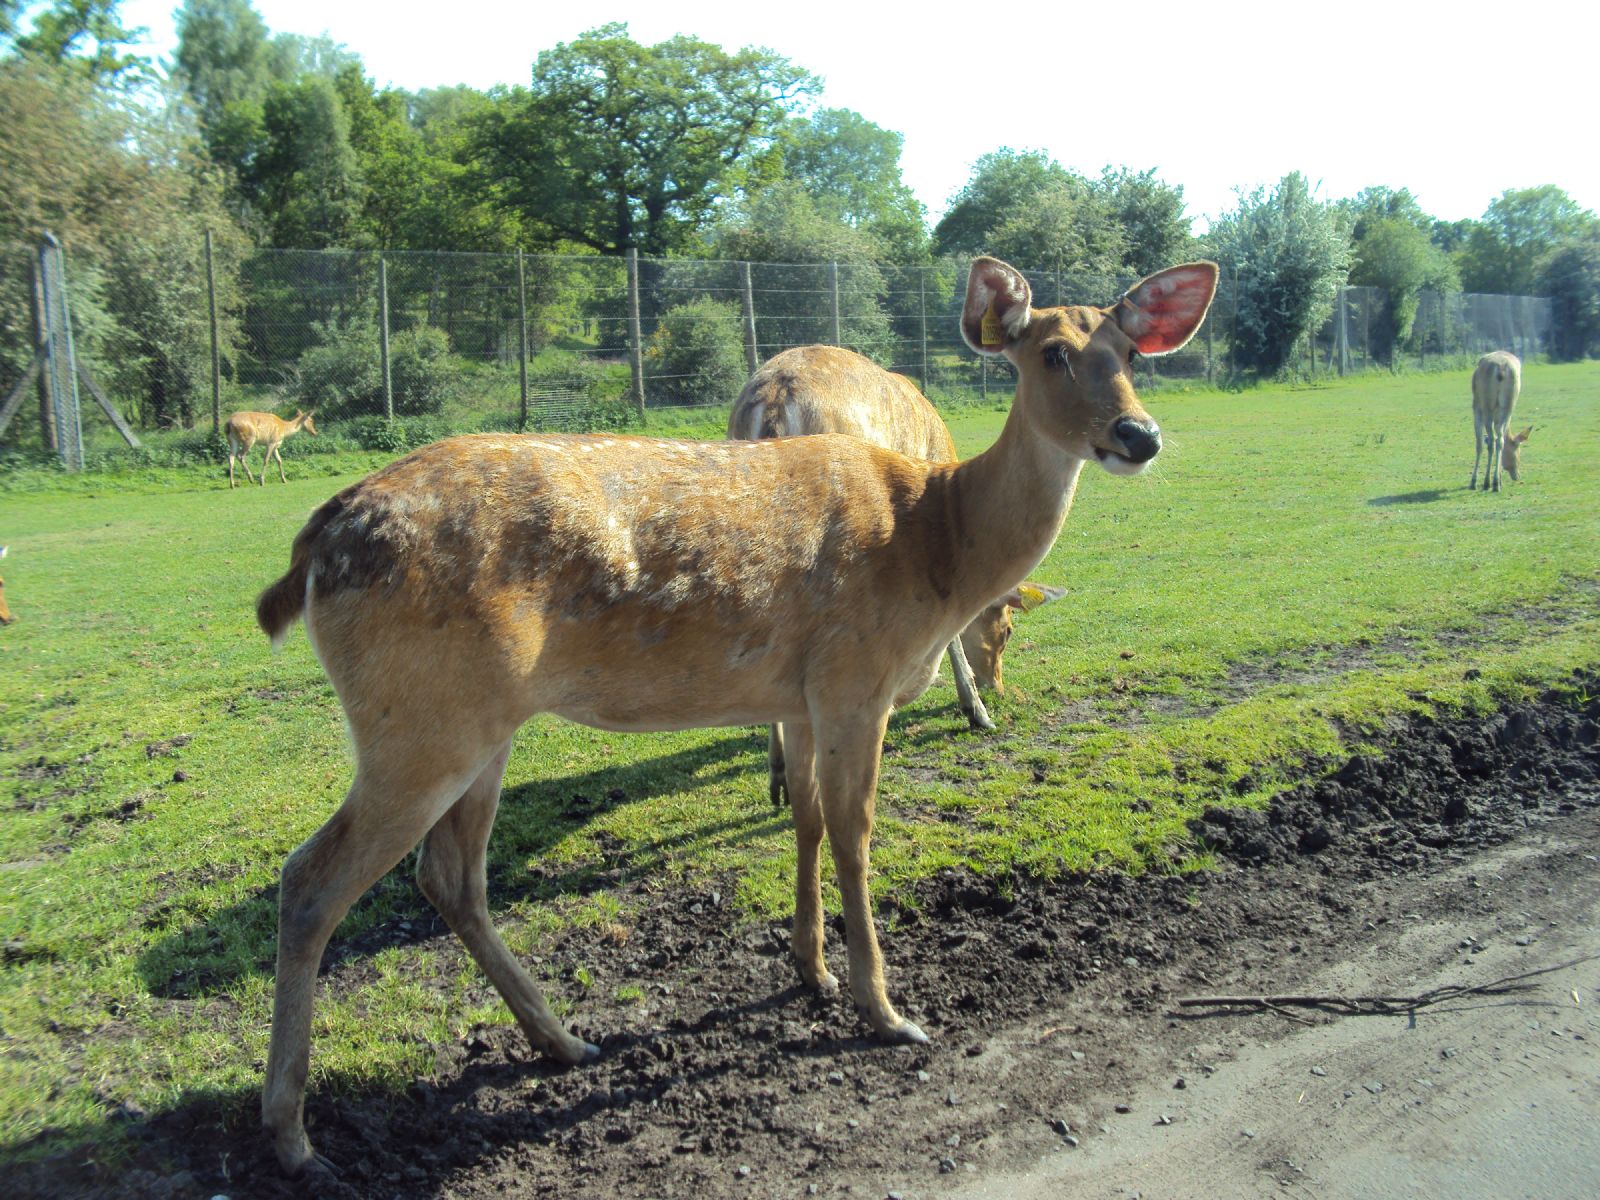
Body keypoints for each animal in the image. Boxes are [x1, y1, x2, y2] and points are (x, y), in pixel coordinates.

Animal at [1465, 352, 1529, 492]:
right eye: (1518, 450)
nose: (1517, 476)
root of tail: (1501, 370)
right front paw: (1500, 480)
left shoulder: (1476, 407)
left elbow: (1479, 444)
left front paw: (1473, 482)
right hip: (1509, 405)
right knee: (1500, 440)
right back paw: (1495, 483)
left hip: (1486, 405)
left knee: (1491, 441)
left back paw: (1487, 482)